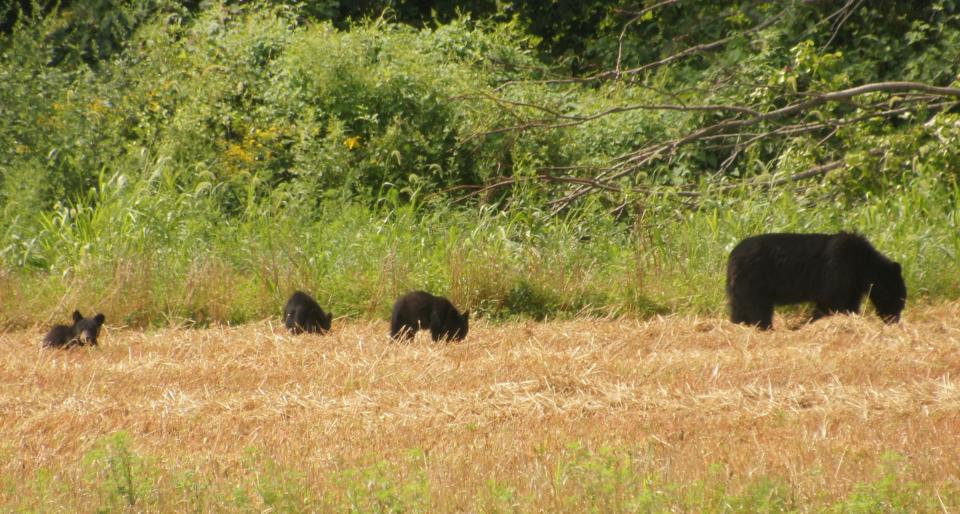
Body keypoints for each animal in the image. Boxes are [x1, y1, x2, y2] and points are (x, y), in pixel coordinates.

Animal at [728, 232, 908, 328]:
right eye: (898, 299)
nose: (895, 320)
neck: (862, 265)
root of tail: (733, 256)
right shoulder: (838, 270)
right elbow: (831, 301)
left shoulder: (852, 284)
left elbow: (848, 305)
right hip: (755, 281)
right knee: (758, 307)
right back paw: (764, 327)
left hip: (739, 286)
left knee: (739, 308)